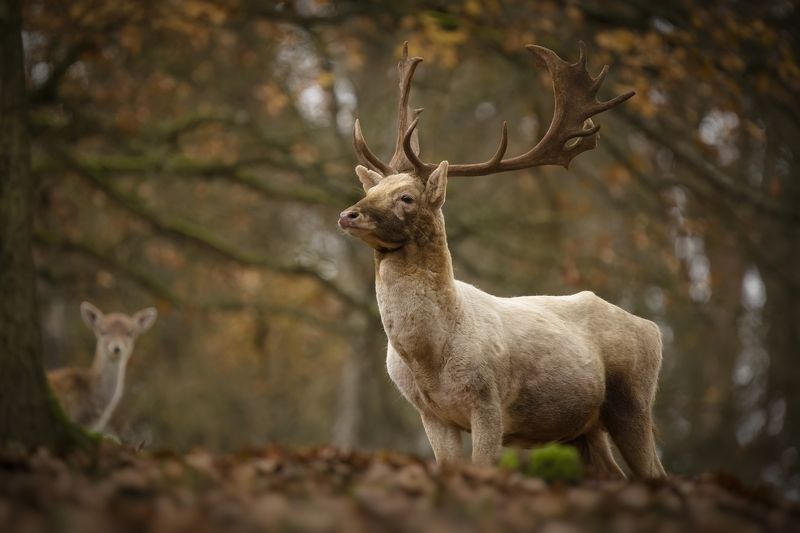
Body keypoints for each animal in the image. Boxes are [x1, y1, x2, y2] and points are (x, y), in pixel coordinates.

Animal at [338, 42, 667, 479]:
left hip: (633, 399)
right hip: (582, 429)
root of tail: (654, 329)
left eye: (406, 197)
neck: (429, 360)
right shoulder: (432, 414)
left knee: (656, 473)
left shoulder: (488, 400)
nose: (348, 214)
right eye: (374, 189)